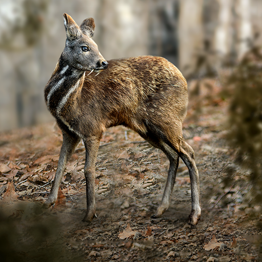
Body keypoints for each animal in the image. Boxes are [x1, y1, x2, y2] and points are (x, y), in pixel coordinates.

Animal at [44, 13, 201, 225]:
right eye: (84, 47)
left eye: (96, 45)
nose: (102, 63)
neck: (66, 104)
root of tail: (184, 80)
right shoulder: (69, 132)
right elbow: (59, 165)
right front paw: (48, 203)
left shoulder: (93, 128)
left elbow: (88, 169)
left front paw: (89, 213)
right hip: (148, 128)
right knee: (174, 155)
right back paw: (160, 209)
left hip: (168, 119)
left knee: (189, 152)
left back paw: (194, 214)